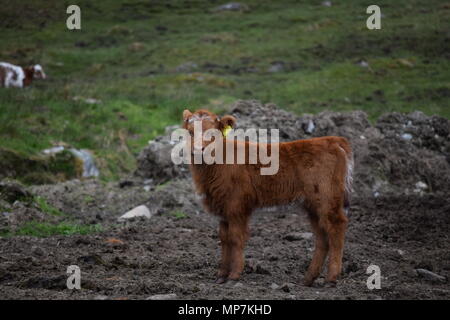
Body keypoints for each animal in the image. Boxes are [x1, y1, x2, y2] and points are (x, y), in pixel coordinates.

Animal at [182, 109, 352, 284]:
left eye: (213, 133)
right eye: (190, 132)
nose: (198, 149)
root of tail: (332, 140)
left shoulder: (237, 205)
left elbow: (235, 237)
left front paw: (234, 274)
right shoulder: (223, 208)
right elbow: (224, 238)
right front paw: (221, 274)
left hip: (327, 199)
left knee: (336, 228)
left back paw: (331, 277)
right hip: (312, 204)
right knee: (322, 236)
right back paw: (309, 278)